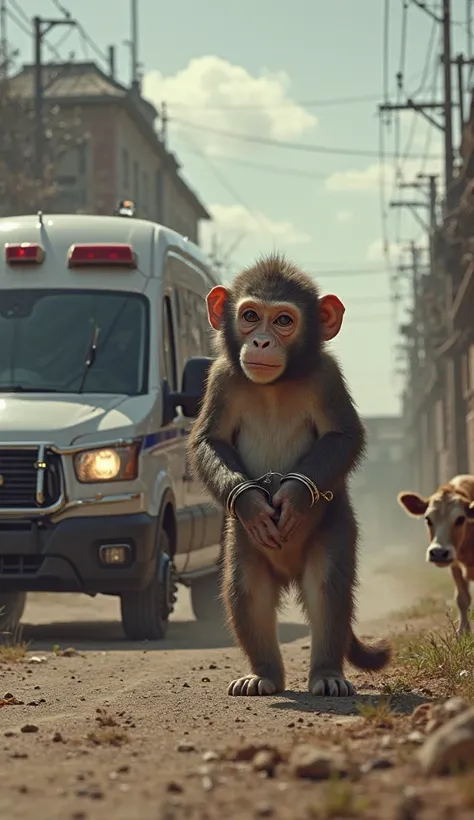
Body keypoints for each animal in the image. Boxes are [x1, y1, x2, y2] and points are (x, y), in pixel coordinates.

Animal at [187, 253, 390, 696]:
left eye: (283, 320)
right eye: (250, 316)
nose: (262, 341)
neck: (277, 384)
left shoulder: (327, 375)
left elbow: (343, 436)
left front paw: (294, 499)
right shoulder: (221, 376)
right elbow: (209, 442)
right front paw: (251, 502)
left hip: (334, 529)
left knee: (327, 588)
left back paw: (327, 673)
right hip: (244, 545)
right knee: (246, 590)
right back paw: (264, 674)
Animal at [396, 474, 474, 636]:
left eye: (460, 519)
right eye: (428, 519)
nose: (438, 552)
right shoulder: (455, 565)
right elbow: (462, 599)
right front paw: (463, 633)